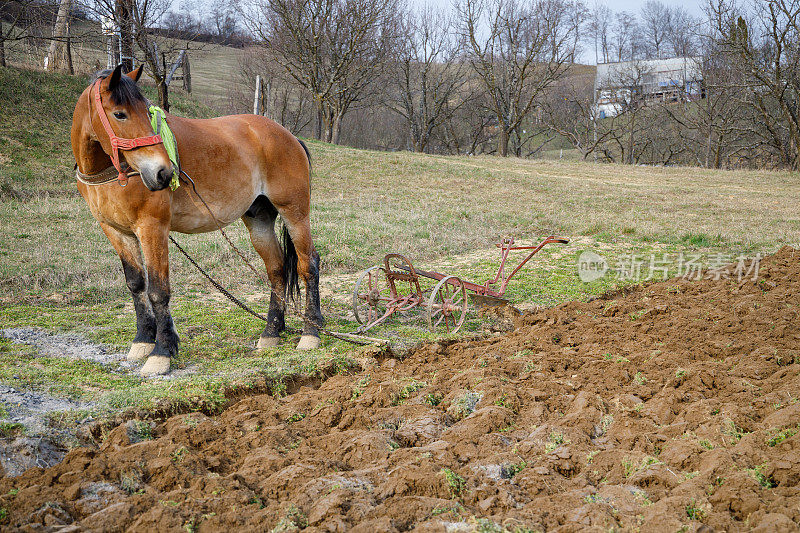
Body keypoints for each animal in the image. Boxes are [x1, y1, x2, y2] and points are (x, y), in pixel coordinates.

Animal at [71, 65, 322, 374]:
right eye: (120, 114)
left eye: (147, 112)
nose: (164, 173)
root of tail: (287, 136)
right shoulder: (116, 231)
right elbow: (137, 285)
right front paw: (143, 341)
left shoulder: (152, 228)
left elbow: (158, 290)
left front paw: (161, 352)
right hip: (259, 220)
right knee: (276, 269)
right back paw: (271, 332)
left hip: (295, 212)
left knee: (308, 264)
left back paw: (311, 333)